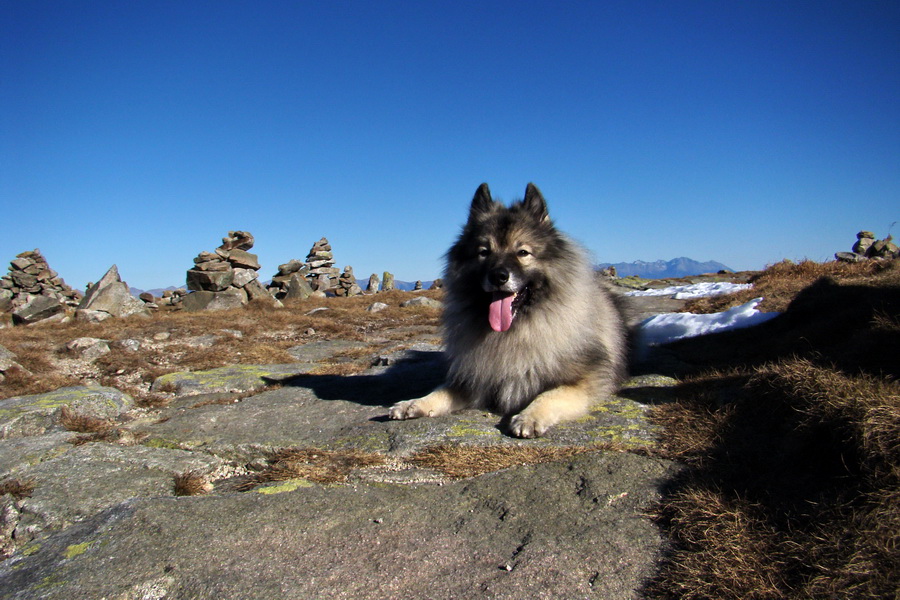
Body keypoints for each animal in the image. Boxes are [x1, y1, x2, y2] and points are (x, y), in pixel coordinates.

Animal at [386, 182, 624, 436]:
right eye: (484, 252)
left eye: (523, 252)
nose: (498, 276)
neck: (513, 331)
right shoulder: (474, 378)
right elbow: (441, 390)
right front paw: (414, 403)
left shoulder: (586, 379)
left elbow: (551, 394)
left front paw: (530, 416)